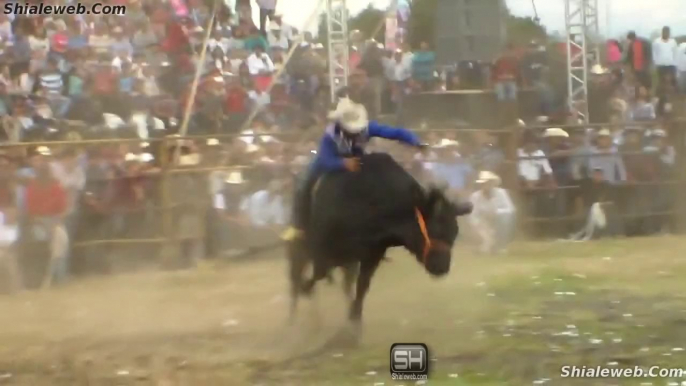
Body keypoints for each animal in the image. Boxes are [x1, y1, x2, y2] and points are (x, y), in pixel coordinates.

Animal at [288, 153, 476, 326]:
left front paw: (353, 322)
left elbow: (361, 286)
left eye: (454, 232)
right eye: (435, 229)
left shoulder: (370, 254)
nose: (442, 267)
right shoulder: (324, 249)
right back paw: (295, 321)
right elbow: (319, 274)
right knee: (296, 279)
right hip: (300, 248)